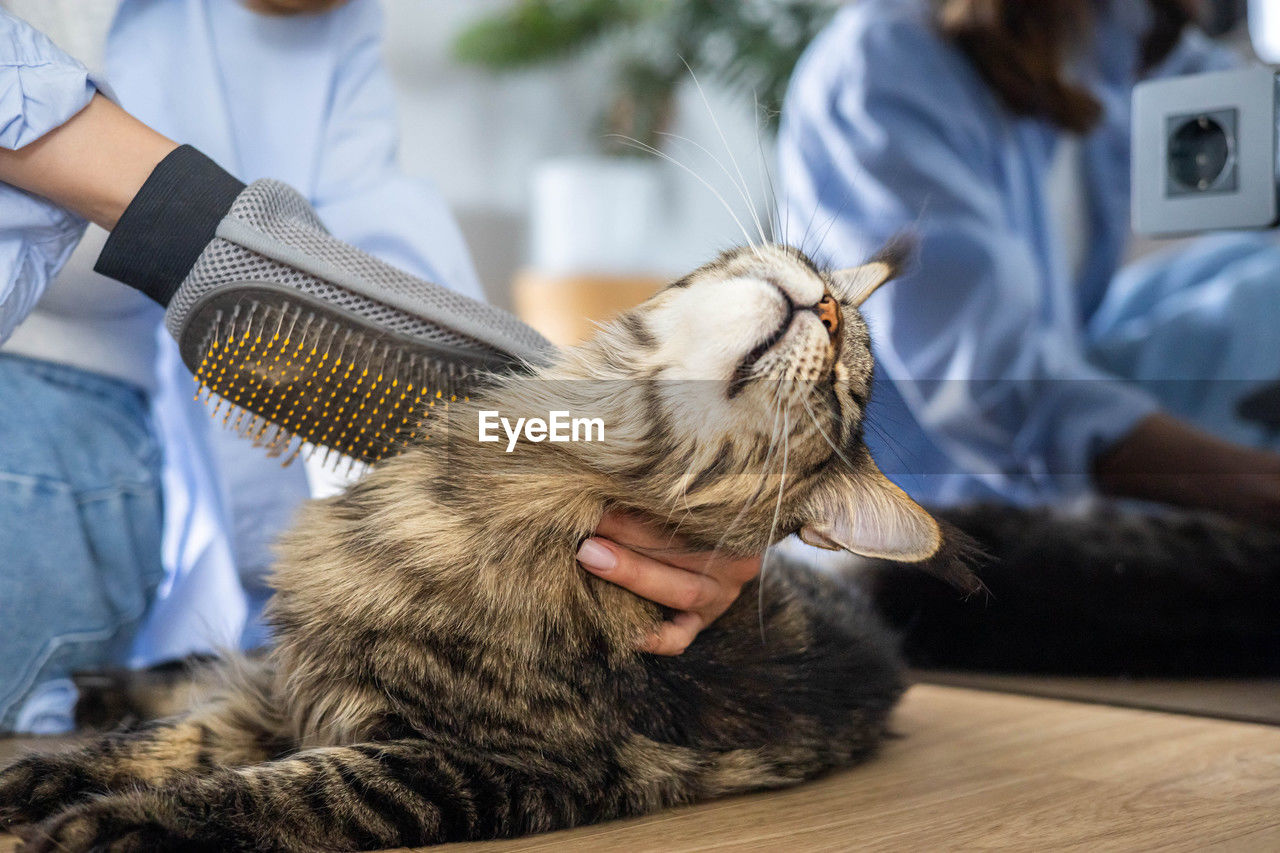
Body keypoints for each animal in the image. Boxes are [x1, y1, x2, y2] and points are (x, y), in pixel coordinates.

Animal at [0, 240, 967, 850]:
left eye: (840, 394)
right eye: (826, 292)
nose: (830, 309)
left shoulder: (473, 764)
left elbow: (269, 790)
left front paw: (110, 823)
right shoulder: (296, 686)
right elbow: (162, 741)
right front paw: (35, 778)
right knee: (198, 670)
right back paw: (89, 690)